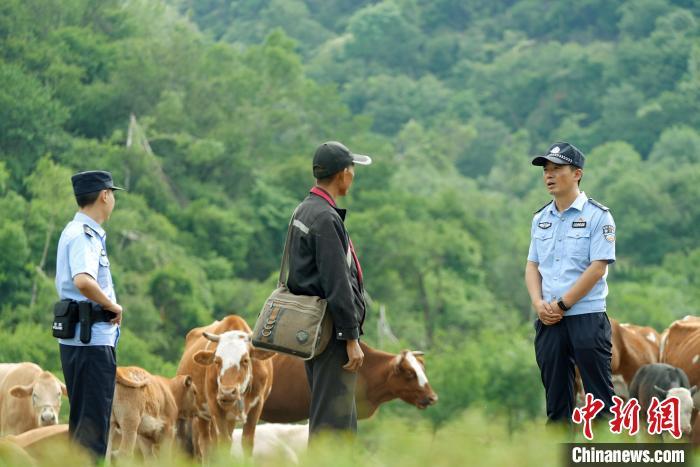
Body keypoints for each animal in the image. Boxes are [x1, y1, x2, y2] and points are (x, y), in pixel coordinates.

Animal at [175, 316, 274, 458]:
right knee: (206, 443)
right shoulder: (214, 404)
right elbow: (223, 442)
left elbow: (247, 441)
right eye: (217, 361)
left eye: (245, 360)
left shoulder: (257, 404)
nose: (227, 393)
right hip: (202, 413)